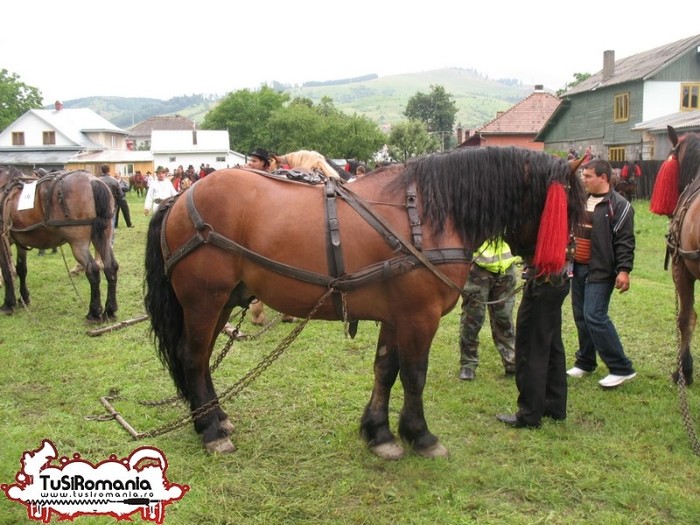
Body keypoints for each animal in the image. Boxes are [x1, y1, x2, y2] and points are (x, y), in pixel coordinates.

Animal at [0, 166, 119, 320]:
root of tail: (93, 181)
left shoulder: (2, 241)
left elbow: (7, 271)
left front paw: (8, 304)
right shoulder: (21, 242)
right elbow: (21, 269)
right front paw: (24, 298)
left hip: (78, 243)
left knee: (93, 269)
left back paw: (93, 312)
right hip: (104, 237)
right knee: (111, 267)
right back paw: (110, 310)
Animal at [145, 145, 588, 456]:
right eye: (571, 208)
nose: (564, 269)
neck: (426, 215)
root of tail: (180, 198)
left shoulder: (396, 316)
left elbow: (385, 370)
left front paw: (379, 434)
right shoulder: (420, 316)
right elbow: (414, 375)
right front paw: (420, 435)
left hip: (220, 302)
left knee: (201, 359)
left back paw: (216, 419)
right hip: (204, 300)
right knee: (192, 357)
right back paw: (211, 432)